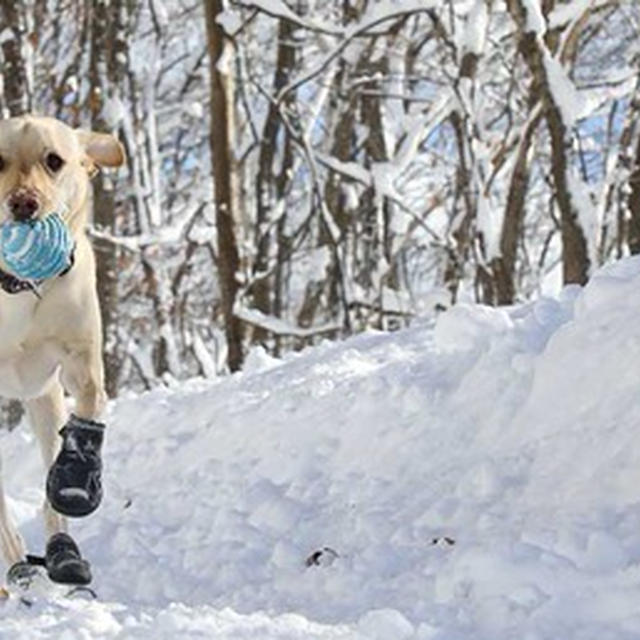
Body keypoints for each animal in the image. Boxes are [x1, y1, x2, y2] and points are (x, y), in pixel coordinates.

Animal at [0, 114, 124, 584]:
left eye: (54, 160)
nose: (23, 204)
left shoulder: (78, 363)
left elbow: (87, 411)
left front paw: (74, 476)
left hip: (43, 399)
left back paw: (59, 550)